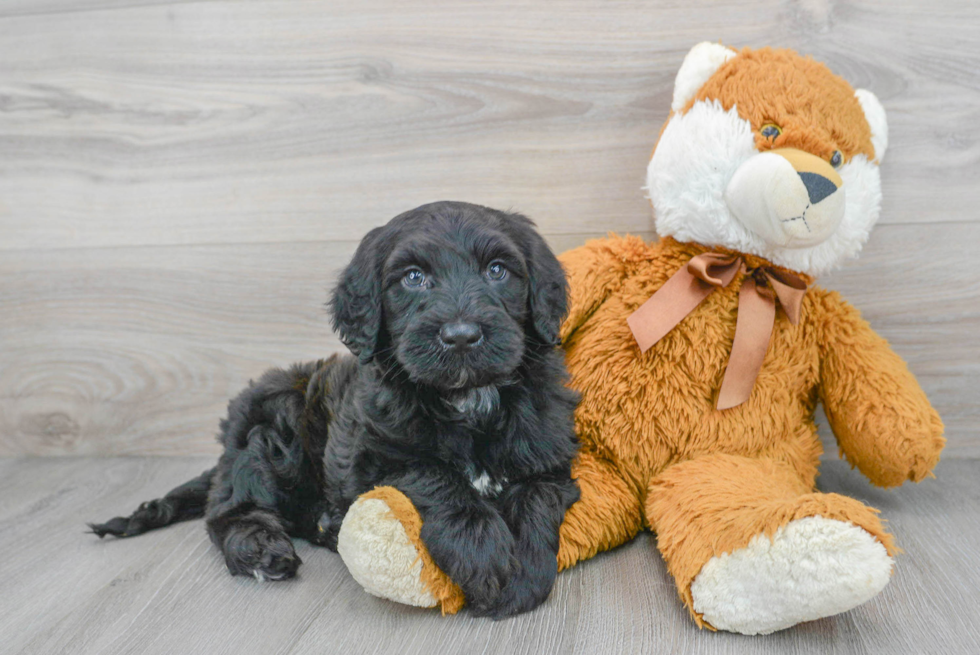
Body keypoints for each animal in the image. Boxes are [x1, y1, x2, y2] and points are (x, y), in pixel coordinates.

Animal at [88, 201, 580, 620]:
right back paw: (260, 548)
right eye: (413, 277)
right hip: (271, 426)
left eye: (497, 270)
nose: (461, 335)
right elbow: (435, 475)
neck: (467, 399)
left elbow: (536, 498)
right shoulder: (375, 455)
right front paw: (482, 549)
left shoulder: (550, 458)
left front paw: (524, 574)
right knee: (227, 511)